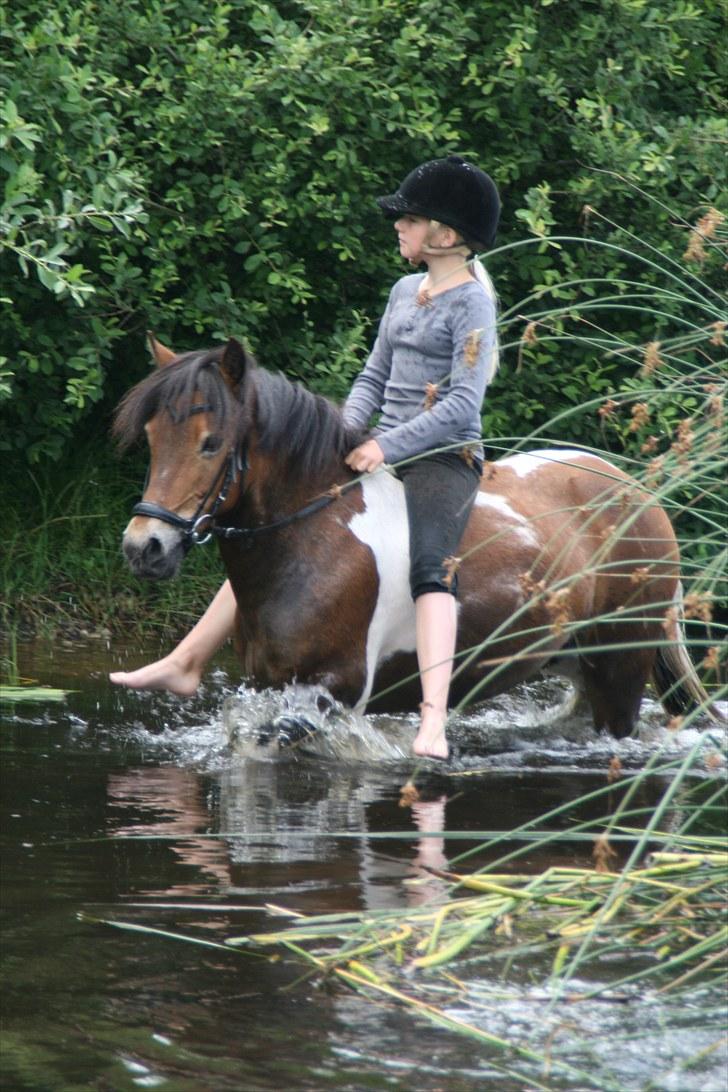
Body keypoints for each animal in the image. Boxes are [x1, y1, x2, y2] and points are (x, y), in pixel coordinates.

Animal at [115, 336, 711, 738]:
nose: (144, 547)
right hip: (576, 663)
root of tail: (640, 495)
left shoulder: (326, 697)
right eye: (152, 437)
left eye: (211, 443)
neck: (316, 536)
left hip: (620, 674)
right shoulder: (269, 688)